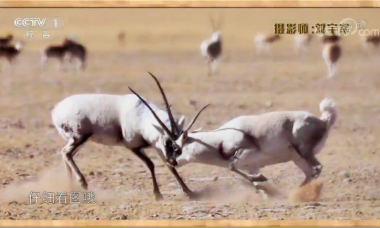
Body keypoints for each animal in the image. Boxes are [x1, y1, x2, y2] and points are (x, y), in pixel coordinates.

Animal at [50, 71, 208, 200]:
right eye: (167, 142)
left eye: (179, 146)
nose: (174, 161)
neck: (141, 116)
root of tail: (56, 110)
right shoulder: (133, 147)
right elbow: (150, 165)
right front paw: (158, 195)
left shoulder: (156, 147)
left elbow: (169, 168)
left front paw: (190, 192)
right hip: (79, 137)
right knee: (65, 152)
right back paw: (82, 182)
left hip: (79, 140)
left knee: (67, 154)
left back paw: (71, 187)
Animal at [134, 89, 338, 196]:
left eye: (176, 147)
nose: (171, 162)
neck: (219, 140)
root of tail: (323, 121)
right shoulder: (251, 165)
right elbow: (244, 176)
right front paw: (264, 189)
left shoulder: (246, 153)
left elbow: (231, 166)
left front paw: (262, 180)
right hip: (297, 158)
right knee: (310, 172)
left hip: (304, 152)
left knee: (316, 169)